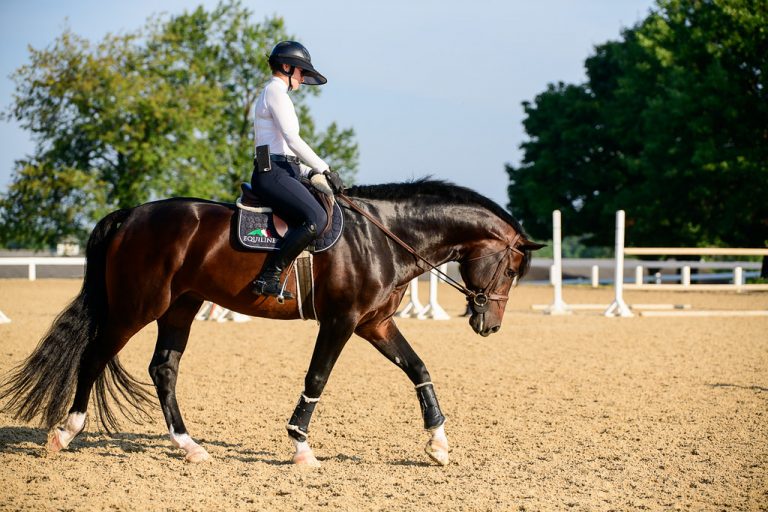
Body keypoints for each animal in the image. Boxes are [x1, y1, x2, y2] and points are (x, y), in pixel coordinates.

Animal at [0, 179, 542, 467]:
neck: (383, 238)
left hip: (180, 307)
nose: (490, 325)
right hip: (139, 306)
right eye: (511, 269)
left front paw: (438, 444)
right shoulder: (342, 321)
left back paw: (189, 446)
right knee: (95, 355)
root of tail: (131, 214)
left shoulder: (375, 324)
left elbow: (418, 368)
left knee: (163, 369)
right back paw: (64, 433)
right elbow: (317, 377)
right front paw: (301, 445)